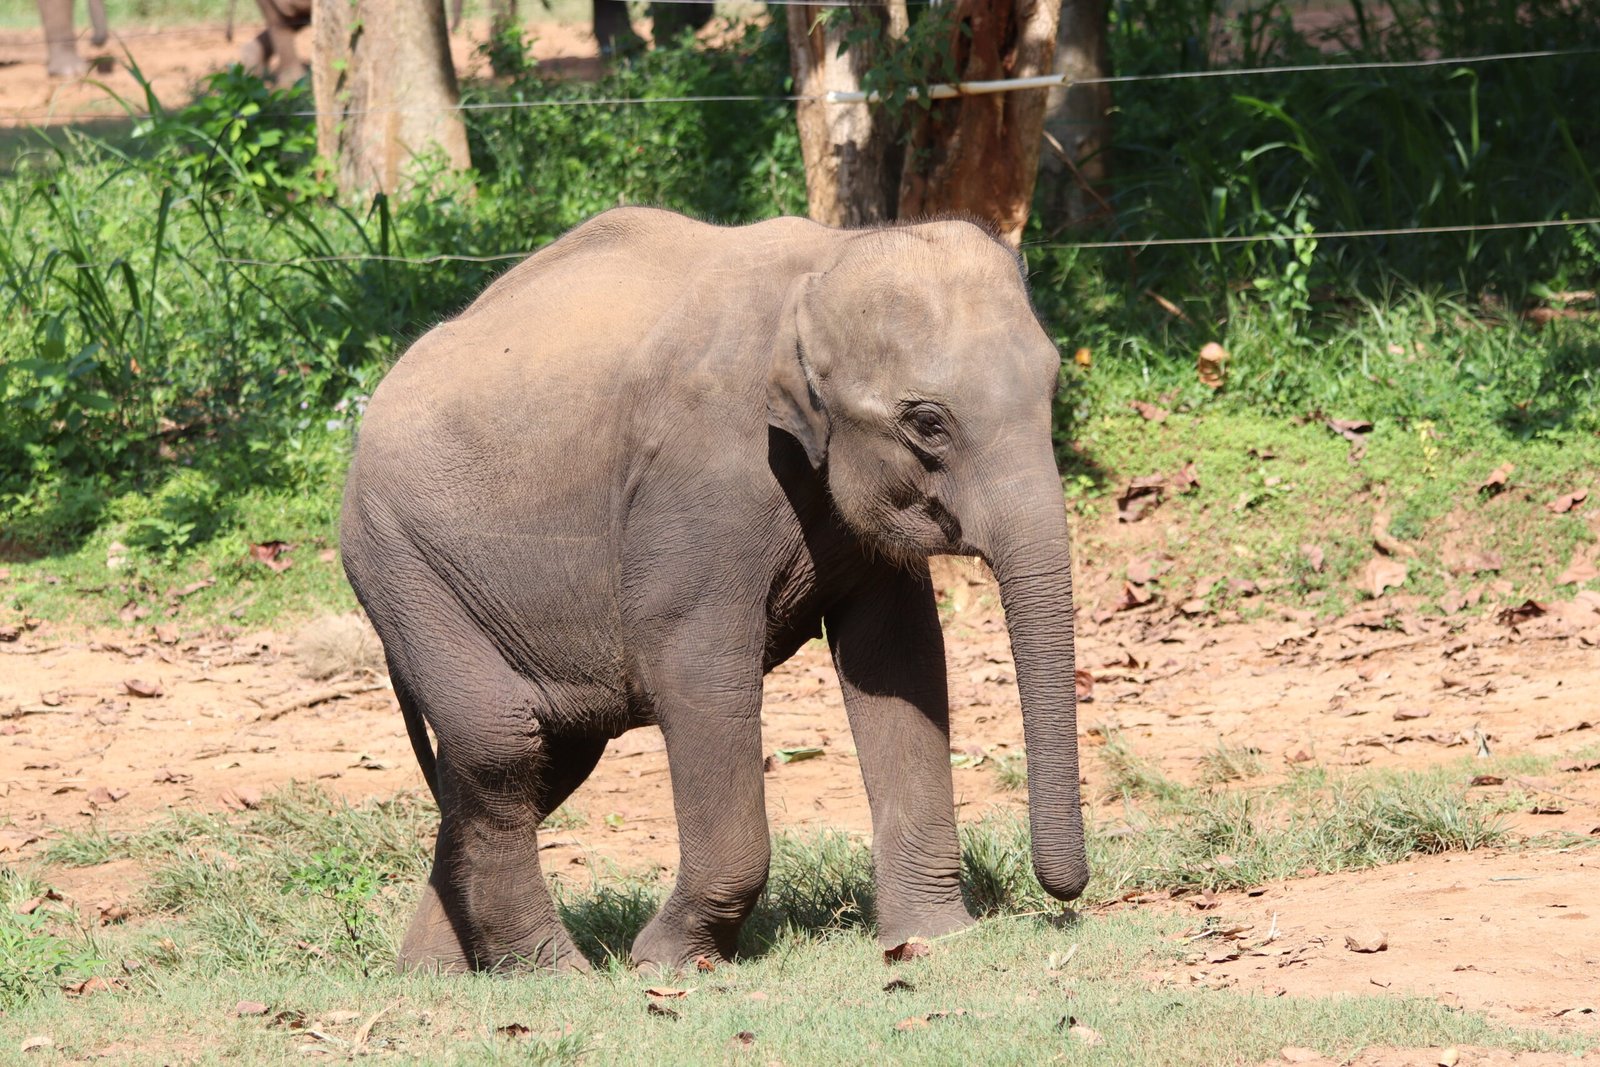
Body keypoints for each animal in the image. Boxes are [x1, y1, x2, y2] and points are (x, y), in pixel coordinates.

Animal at [340, 207, 1089, 974]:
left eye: (1053, 391)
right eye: (928, 423)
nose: (1063, 898)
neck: (824, 262)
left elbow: (897, 662)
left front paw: (934, 939)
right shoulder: (703, 474)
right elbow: (695, 666)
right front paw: (666, 959)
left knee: (541, 757)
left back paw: (440, 973)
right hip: (402, 564)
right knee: (503, 744)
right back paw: (552, 971)